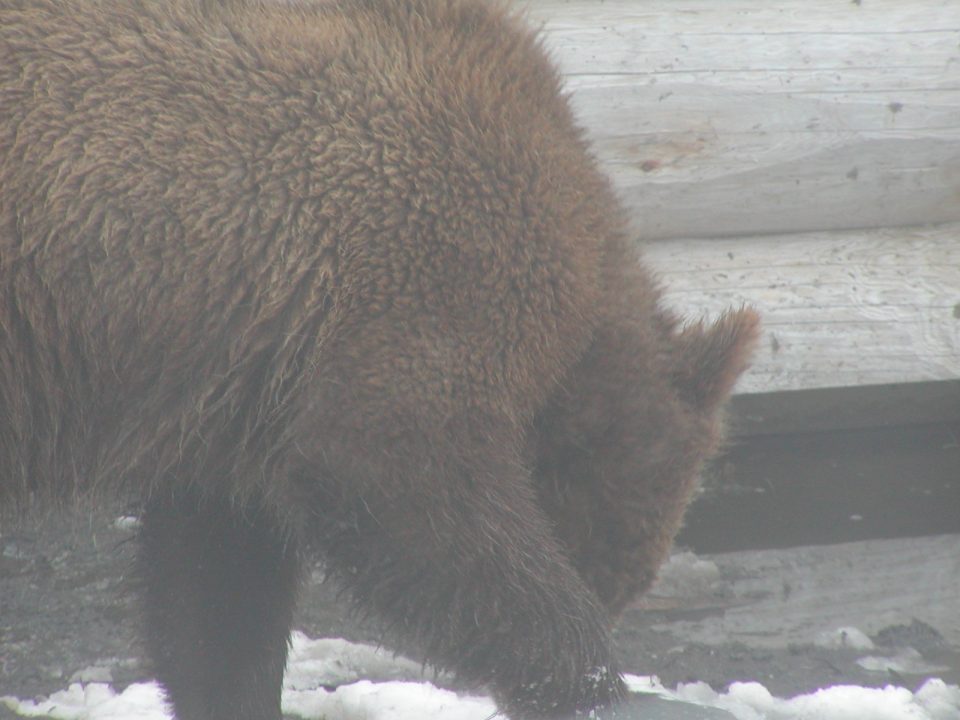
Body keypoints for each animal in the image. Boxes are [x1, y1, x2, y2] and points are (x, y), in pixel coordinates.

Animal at [1, 0, 756, 716]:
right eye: (610, 560)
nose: (611, 596)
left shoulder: (238, 386)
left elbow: (215, 586)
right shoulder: (418, 282)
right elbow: (408, 494)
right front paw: (582, 676)